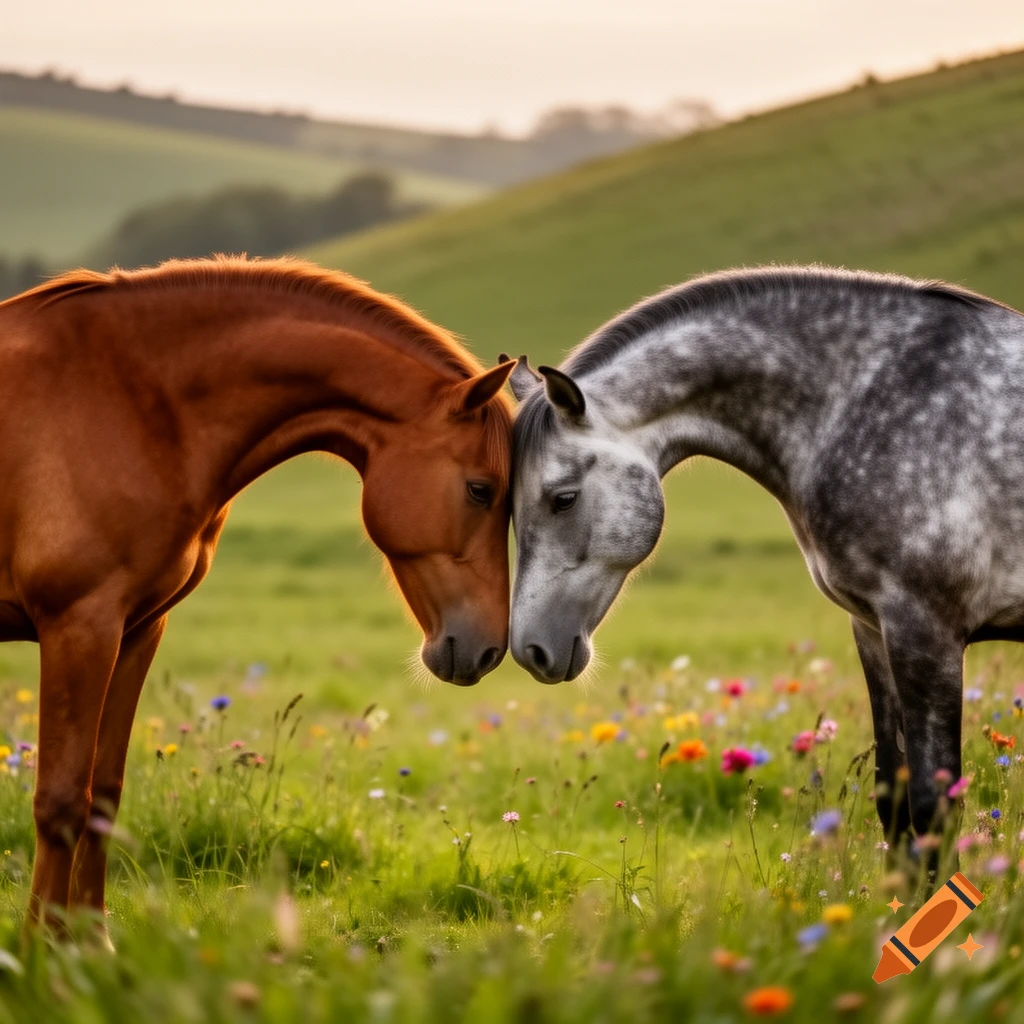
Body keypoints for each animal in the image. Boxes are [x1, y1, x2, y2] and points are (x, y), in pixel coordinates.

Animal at [0, 256, 514, 937]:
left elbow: (102, 793)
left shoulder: (135, 629)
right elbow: (59, 801)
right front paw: (42, 953)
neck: (130, 397)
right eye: (482, 490)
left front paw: (91, 946)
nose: (489, 649)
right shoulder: (78, 625)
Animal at [506, 265, 1024, 858]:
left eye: (563, 498)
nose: (530, 650)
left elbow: (931, 810)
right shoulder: (874, 629)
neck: (869, 403)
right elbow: (894, 807)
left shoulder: (926, 635)